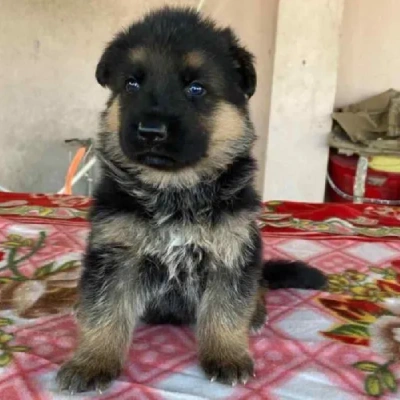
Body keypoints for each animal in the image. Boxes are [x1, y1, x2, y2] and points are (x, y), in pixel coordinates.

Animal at [55, 7, 324, 392]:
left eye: (195, 88)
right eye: (131, 84)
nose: (150, 132)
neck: (173, 189)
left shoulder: (232, 252)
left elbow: (225, 311)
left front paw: (226, 353)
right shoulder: (115, 257)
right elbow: (104, 312)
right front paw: (92, 360)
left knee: (258, 285)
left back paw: (256, 312)